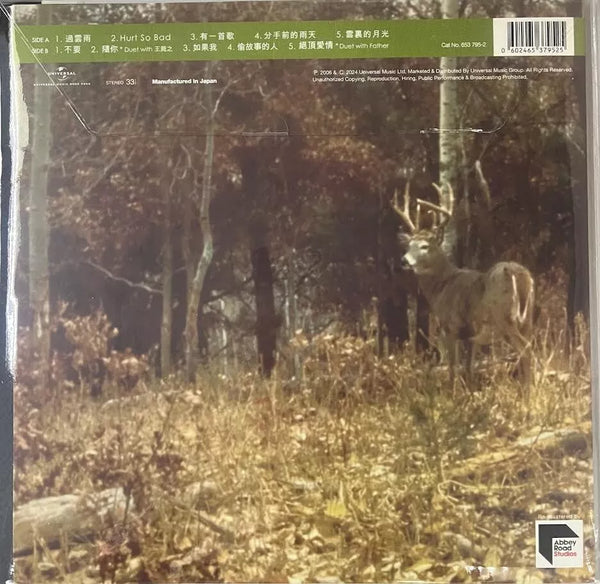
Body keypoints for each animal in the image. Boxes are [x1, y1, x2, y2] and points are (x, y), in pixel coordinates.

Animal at [393, 181, 534, 388]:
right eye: (408, 245)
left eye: (424, 246)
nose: (404, 260)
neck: (441, 287)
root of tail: (519, 274)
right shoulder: (471, 336)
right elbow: (469, 369)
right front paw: (469, 391)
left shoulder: (450, 327)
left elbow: (453, 368)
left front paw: (452, 392)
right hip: (527, 318)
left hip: (504, 317)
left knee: (526, 349)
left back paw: (527, 390)